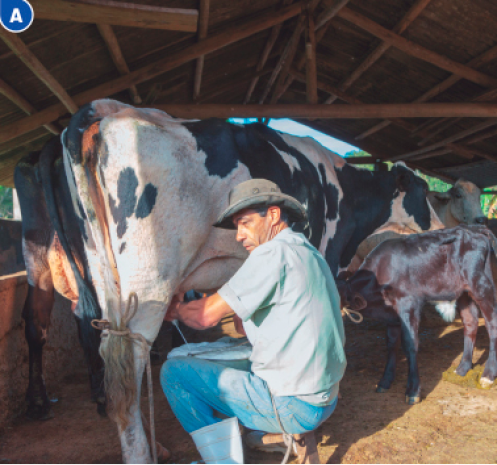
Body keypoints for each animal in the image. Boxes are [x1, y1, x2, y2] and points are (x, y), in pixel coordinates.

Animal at [16, 99, 442, 462]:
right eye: (424, 191)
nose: (441, 226)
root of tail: (102, 112)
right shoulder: (324, 247)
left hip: (83, 275)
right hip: (144, 287)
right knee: (126, 371)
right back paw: (141, 453)